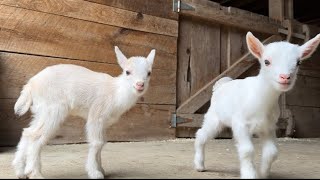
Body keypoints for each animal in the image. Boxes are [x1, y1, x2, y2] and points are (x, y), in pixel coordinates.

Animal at [12, 46, 156, 179]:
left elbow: (102, 143)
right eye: (127, 72)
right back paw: (34, 173)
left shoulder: (103, 123)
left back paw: (20, 171)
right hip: (52, 109)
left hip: (41, 111)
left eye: (149, 73)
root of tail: (31, 84)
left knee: (28, 132)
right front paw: (95, 173)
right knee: (36, 136)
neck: (115, 92)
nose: (140, 85)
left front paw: (101, 169)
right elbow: (97, 143)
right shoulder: (96, 114)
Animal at [192, 31, 320, 178]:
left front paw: (263, 172)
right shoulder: (240, 123)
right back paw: (199, 165)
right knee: (201, 134)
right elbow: (247, 150)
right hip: (214, 118)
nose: (285, 77)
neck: (262, 101)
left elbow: (272, 152)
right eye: (266, 62)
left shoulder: (268, 127)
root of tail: (221, 84)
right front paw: (249, 174)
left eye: (298, 62)